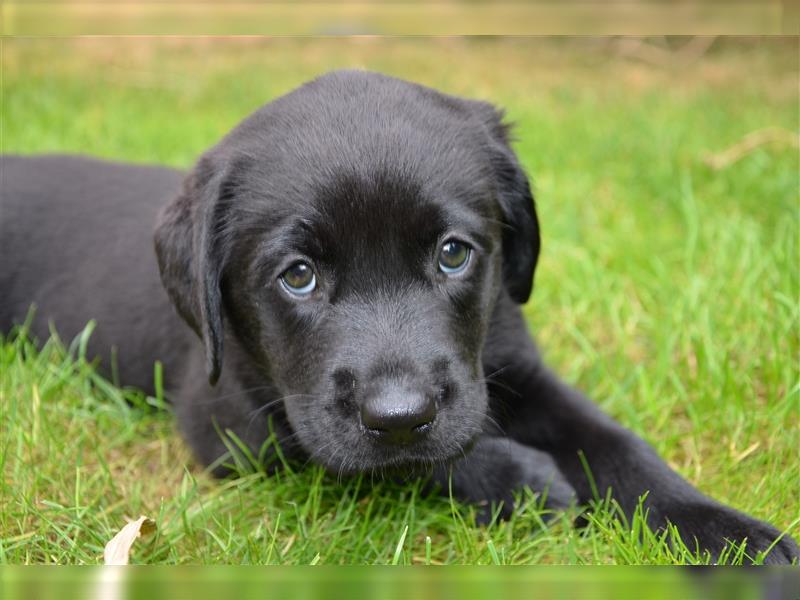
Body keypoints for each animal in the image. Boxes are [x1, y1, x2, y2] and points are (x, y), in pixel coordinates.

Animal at [3, 70, 796, 564]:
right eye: (298, 276)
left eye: (452, 254)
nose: (400, 413)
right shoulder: (234, 423)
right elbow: (386, 461)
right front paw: (522, 479)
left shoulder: (509, 362)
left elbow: (618, 445)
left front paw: (735, 542)